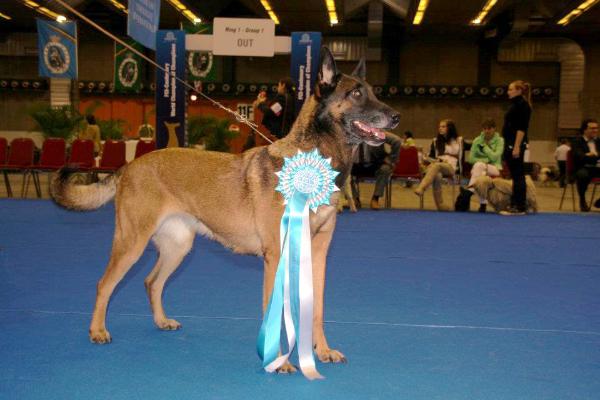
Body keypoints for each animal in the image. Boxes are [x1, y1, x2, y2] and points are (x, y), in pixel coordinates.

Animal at [50, 47, 398, 376]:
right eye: (356, 94)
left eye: (373, 91)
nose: (395, 117)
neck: (312, 163)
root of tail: (129, 165)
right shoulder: (276, 256)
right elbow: (274, 312)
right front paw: (279, 362)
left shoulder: (318, 255)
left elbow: (317, 310)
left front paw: (322, 352)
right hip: (131, 244)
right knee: (104, 285)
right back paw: (97, 331)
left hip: (178, 247)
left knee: (152, 282)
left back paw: (162, 321)